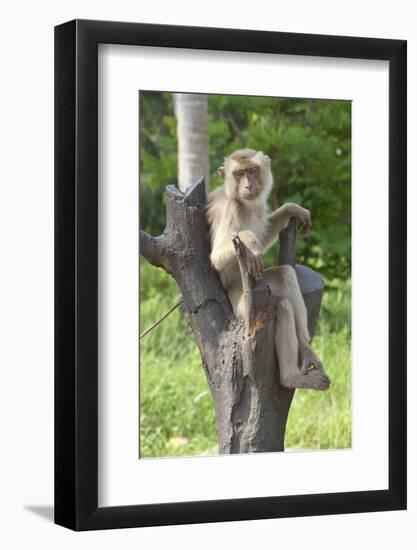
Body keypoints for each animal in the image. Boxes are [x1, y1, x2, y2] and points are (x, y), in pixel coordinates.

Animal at [206, 150, 330, 392]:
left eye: (253, 171)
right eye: (238, 174)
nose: (248, 185)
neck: (244, 204)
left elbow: (264, 237)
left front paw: (291, 209)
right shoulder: (231, 209)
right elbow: (217, 257)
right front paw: (251, 242)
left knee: (285, 275)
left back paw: (305, 348)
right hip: (242, 306)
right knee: (281, 305)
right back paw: (291, 377)